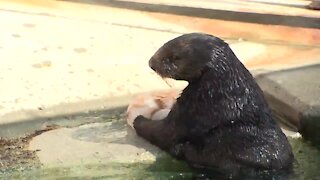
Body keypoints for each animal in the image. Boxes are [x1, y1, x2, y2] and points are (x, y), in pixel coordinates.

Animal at [133, 33, 296, 178]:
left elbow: (164, 131)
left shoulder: (191, 109)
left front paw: (137, 119)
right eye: (164, 45)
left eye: (174, 58)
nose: (151, 63)